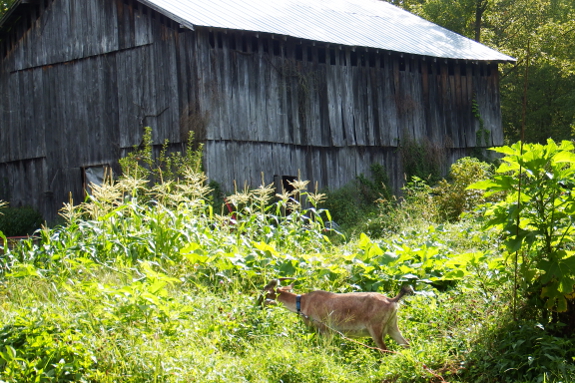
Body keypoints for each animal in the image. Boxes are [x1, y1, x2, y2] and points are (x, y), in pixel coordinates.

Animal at [260, 280, 414, 352]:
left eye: (265, 293)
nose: (259, 304)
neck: (302, 302)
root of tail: (391, 300)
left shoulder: (325, 330)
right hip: (392, 326)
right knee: (405, 344)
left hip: (376, 329)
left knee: (385, 350)